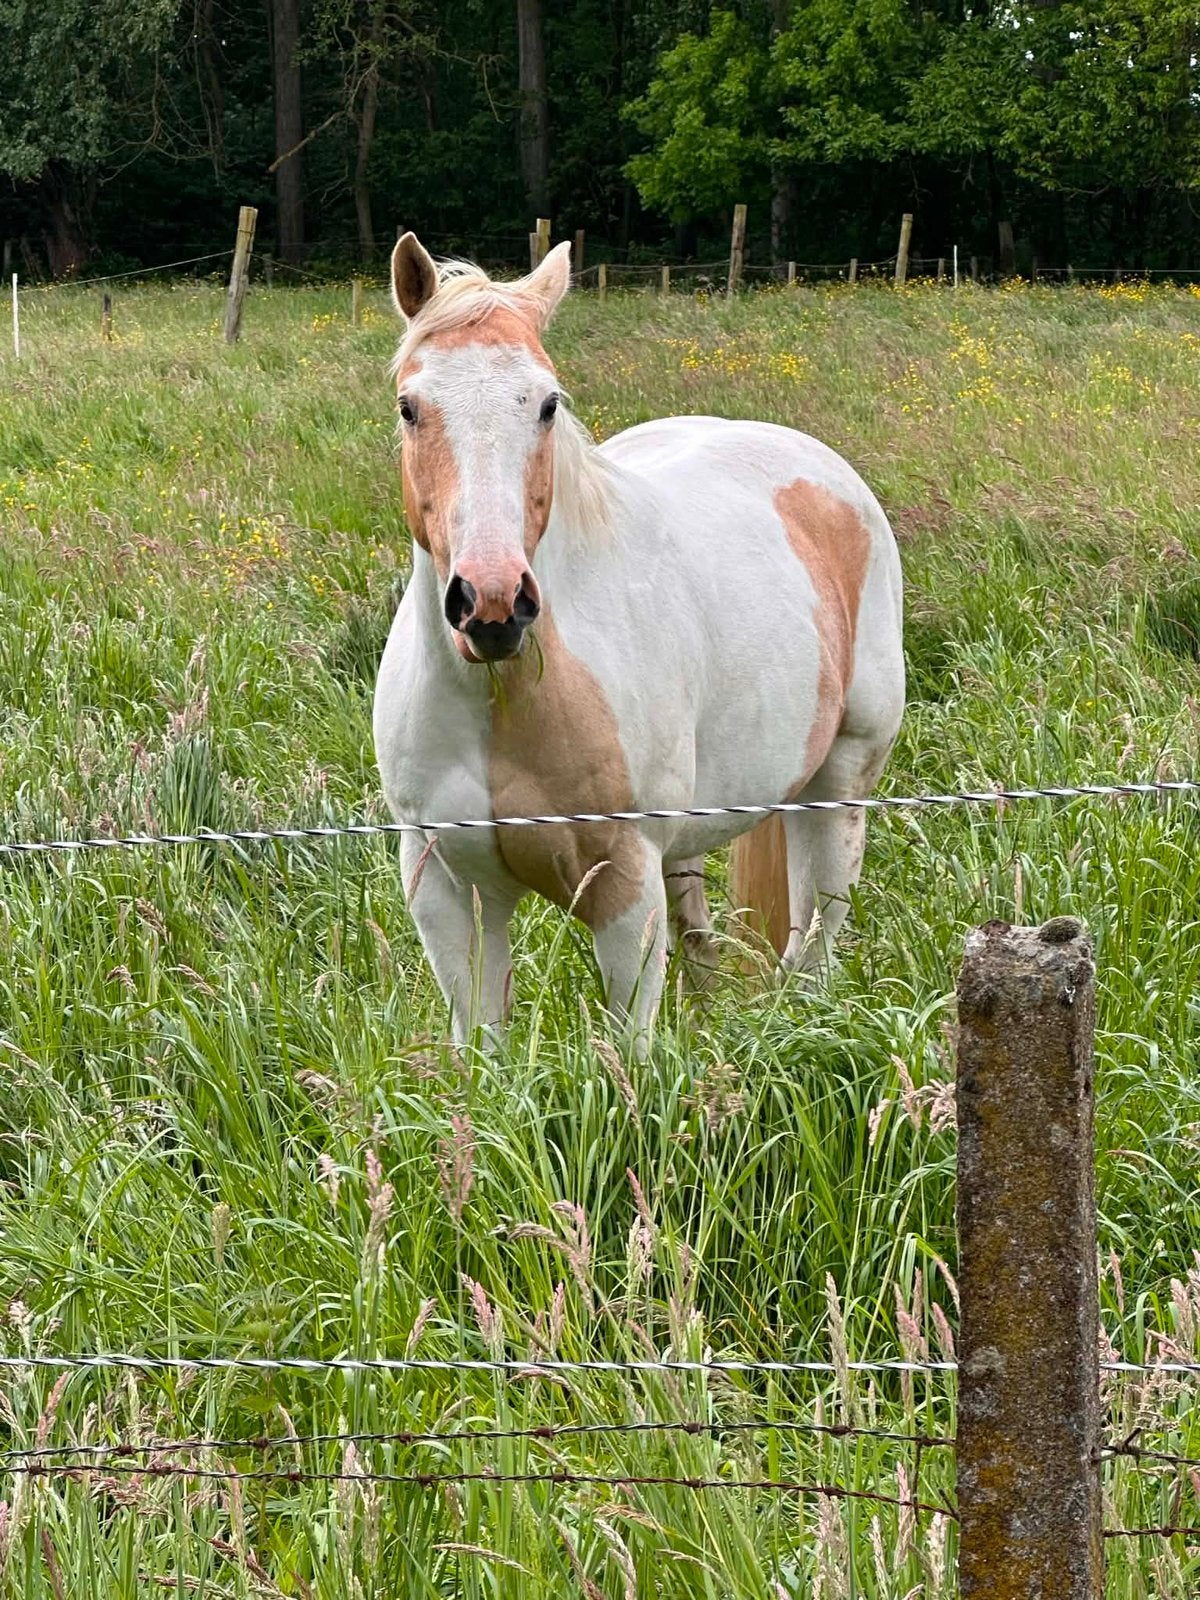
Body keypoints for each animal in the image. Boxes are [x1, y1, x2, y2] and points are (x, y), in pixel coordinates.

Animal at [372, 232, 905, 1049]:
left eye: (547, 405)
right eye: (411, 407)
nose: (492, 604)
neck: (506, 699)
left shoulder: (623, 886)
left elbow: (631, 1055)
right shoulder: (448, 885)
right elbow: (481, 1048)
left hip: (837, 787)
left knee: (813, 944)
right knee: (703, 943)